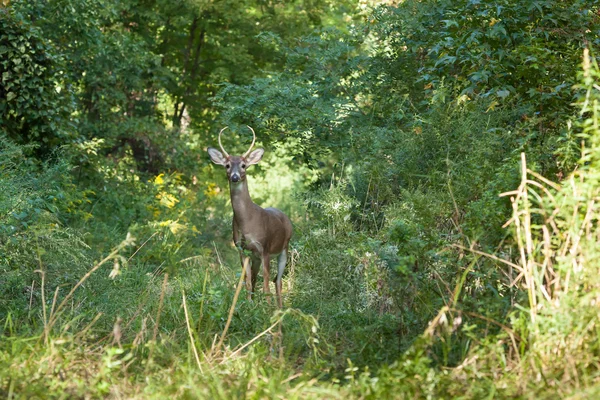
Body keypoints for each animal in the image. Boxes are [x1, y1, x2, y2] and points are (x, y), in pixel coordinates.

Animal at [209, 126, 292, 308]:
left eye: (243, 165)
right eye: (227, 165)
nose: (234, 177)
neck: (248, 222)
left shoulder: (265, 248)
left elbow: (266, 284)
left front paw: (268, 309)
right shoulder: (243, 250)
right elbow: (247, 282)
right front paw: (249, 306)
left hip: (284, 248)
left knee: (277, 280)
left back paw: (280, 309)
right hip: (256, 257)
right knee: (256, 279)